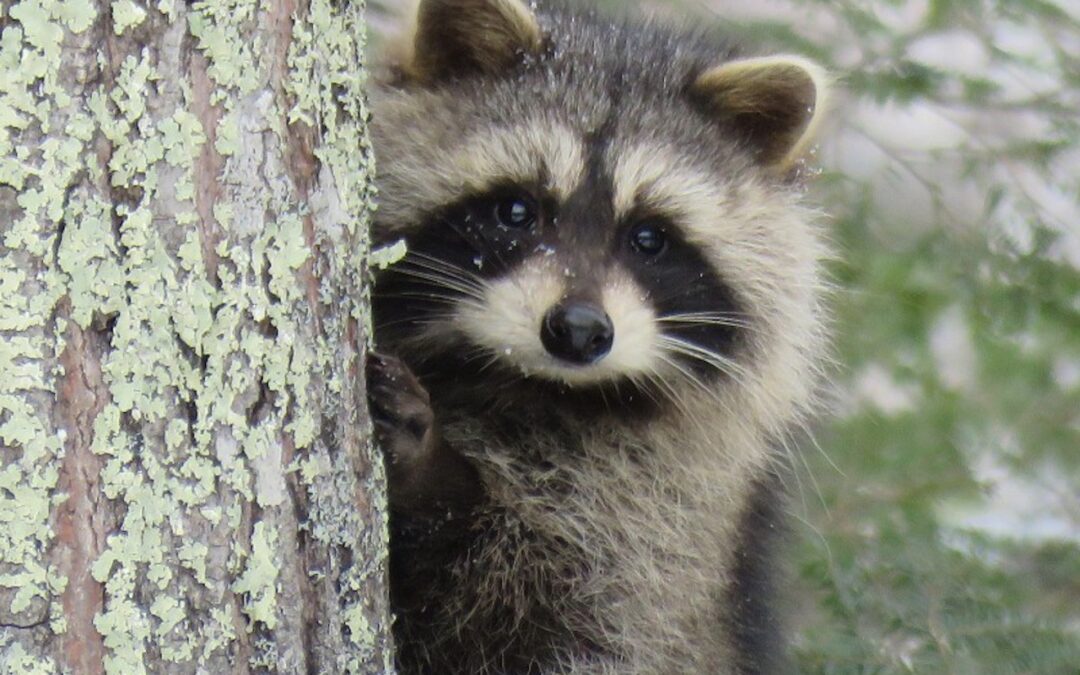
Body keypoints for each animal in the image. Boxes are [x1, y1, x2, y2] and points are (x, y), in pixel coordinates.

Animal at [366, 0, 831, 672]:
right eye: (516, 211)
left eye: (648, 237)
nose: (579, 331)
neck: (521, 383)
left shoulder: (662, 518)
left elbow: (542, 603)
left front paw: (429, 472)